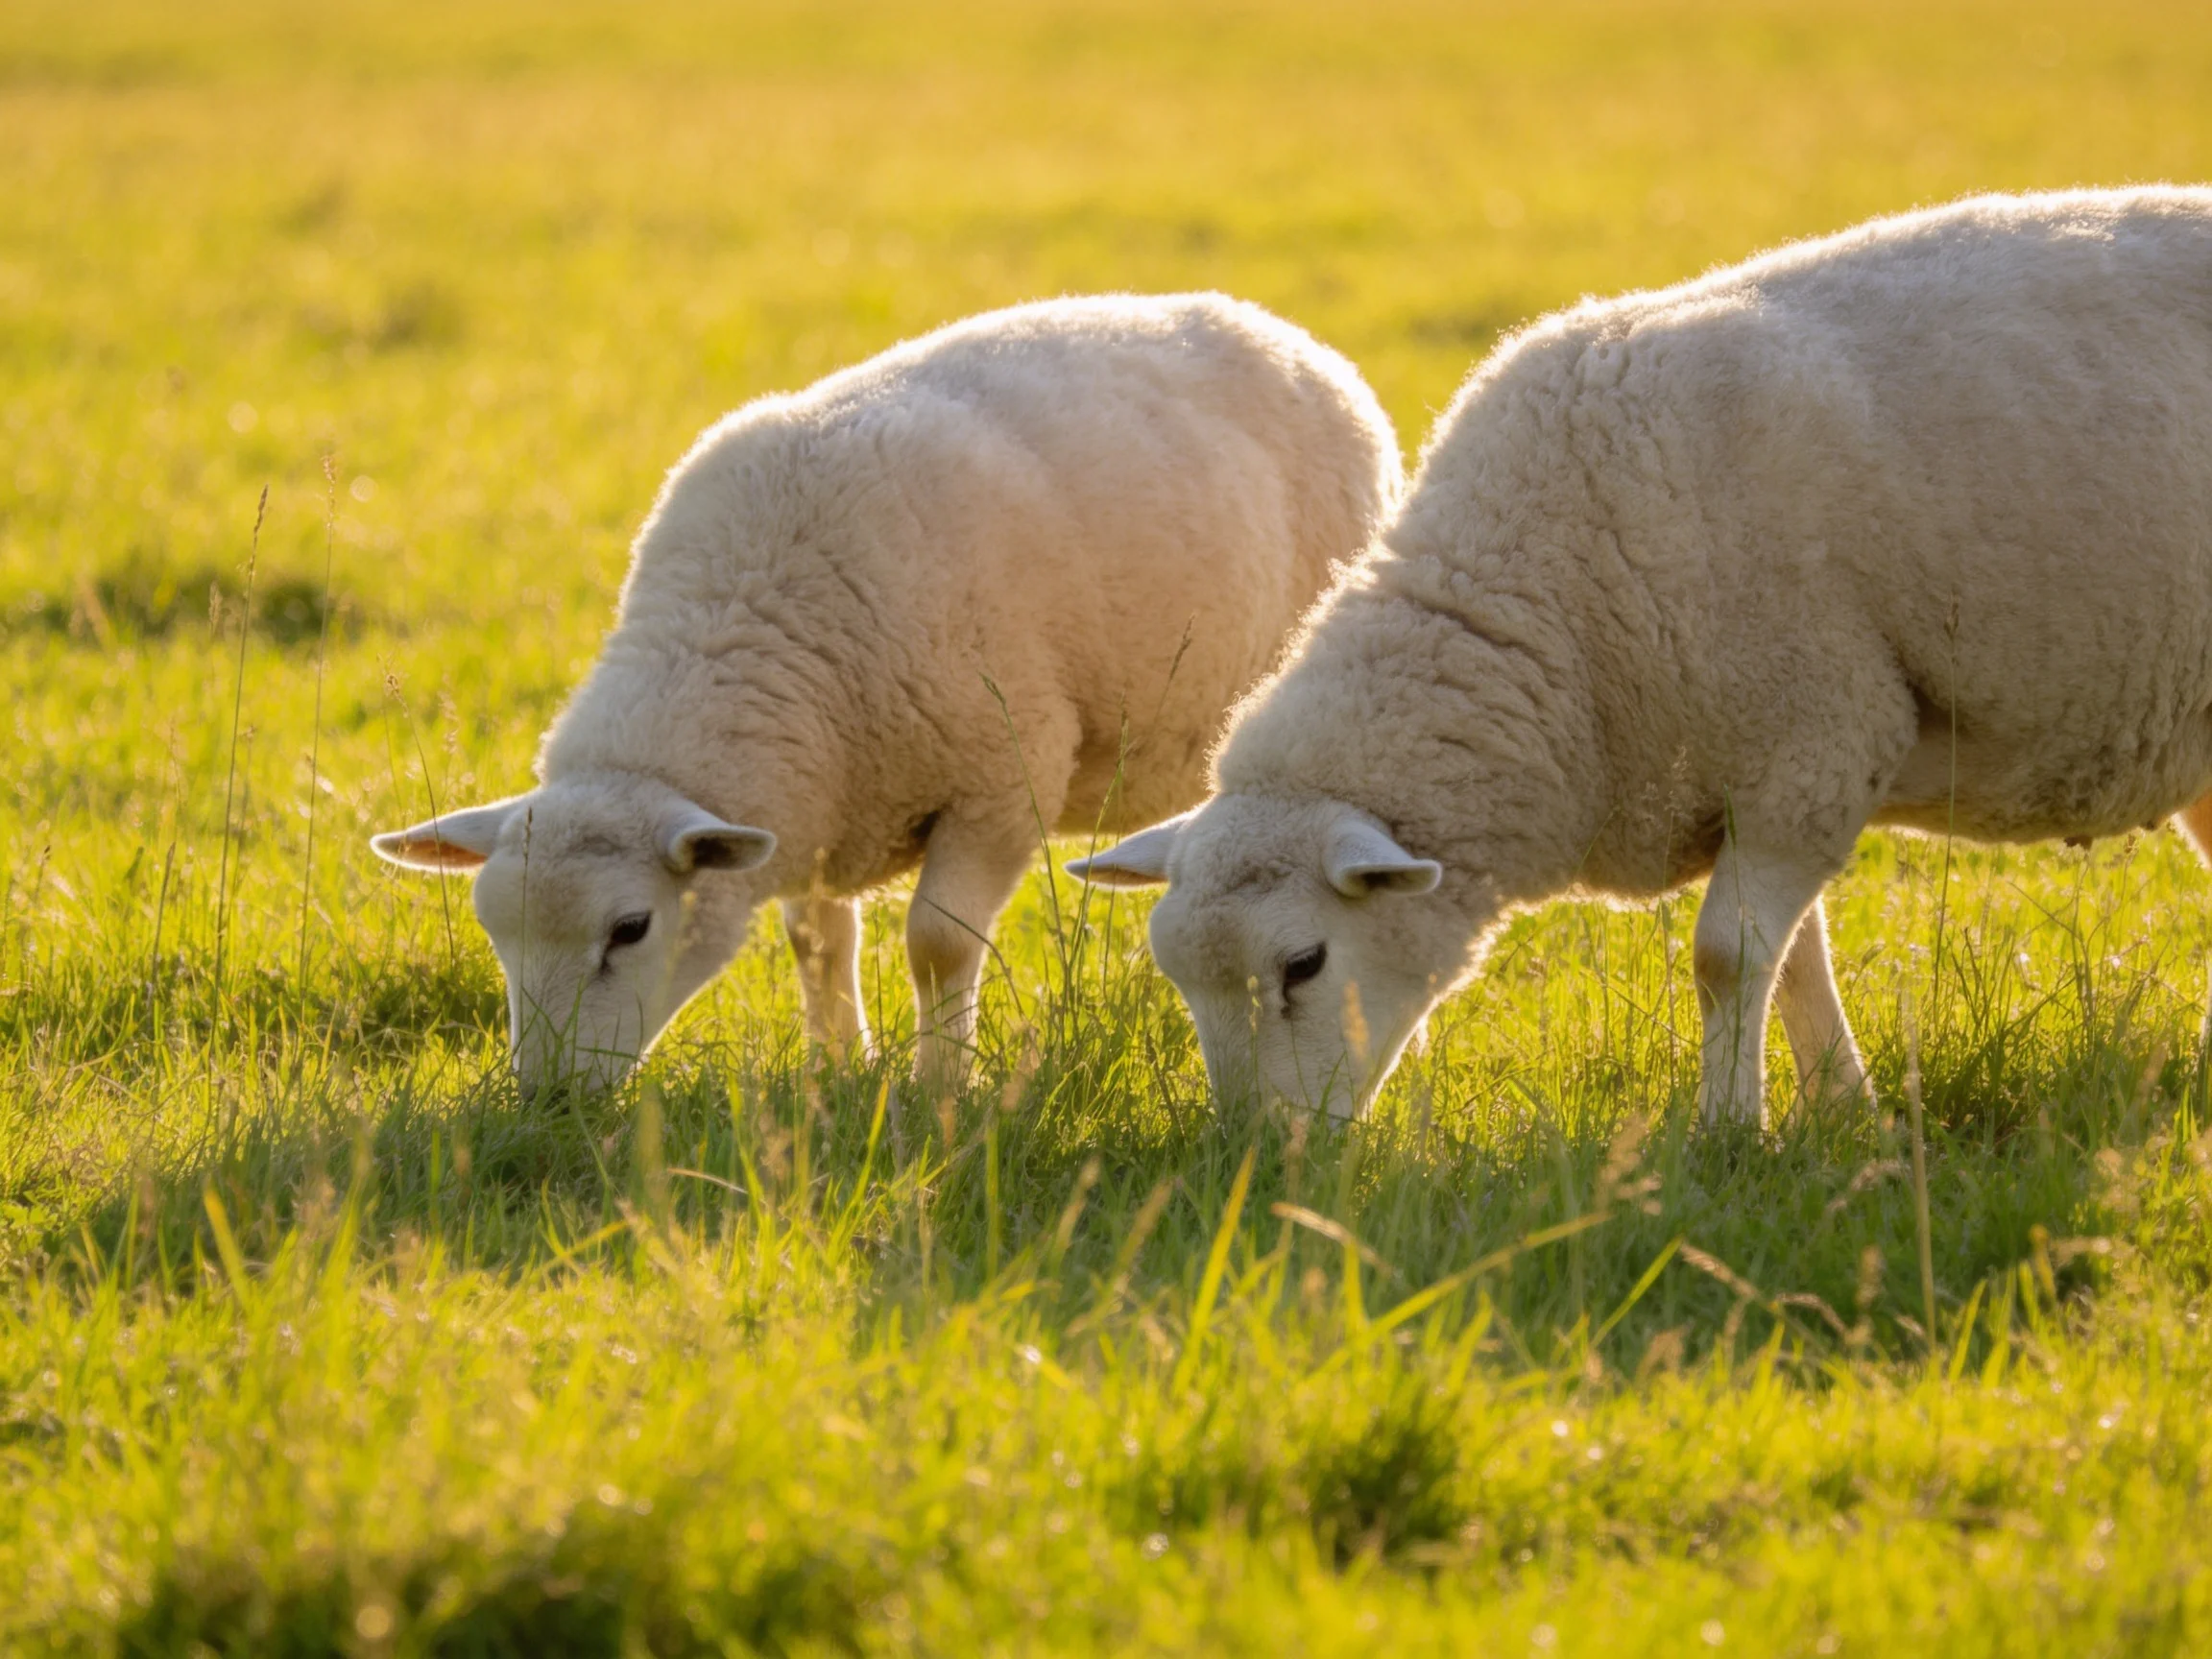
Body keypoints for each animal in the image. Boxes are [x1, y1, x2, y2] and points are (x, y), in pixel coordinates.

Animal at [372, 292, 1401, 1095]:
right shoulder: (816, 806)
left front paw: (941, 1085)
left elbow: (936, 945)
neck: (752, 625)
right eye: (496, 934)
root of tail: (1277, 327)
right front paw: (840, 1064)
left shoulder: (1002, 775)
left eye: (629, 928)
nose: (545, 1100)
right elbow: (818, 942)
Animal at [1070, 188, 2212, 1127]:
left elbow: (1729, 958)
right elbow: (1795, 962)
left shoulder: (1813, 742)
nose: (1258, 1159)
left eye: (1304, 963)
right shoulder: (1769, 778)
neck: (1557, 629)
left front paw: (1730, 1134)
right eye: (1179, 980)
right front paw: (1844, 1111)